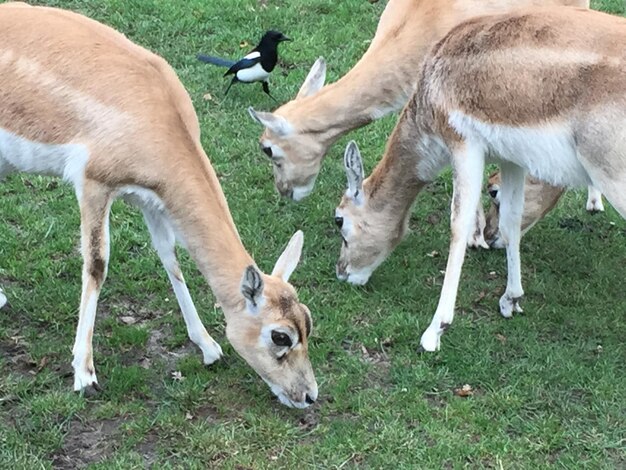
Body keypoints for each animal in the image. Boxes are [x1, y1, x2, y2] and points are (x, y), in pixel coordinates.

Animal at [1, 3, 316, 408]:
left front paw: (209, 347)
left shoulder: (150, 196)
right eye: (280, 335)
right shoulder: (93, 183)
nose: (309, 395)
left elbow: (170, 257)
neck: (156, 115)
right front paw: (84, 374)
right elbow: (96, 265)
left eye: (307, 321)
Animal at [336, 5, 624, 350]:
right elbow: (511, 223)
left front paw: (434, 331)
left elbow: (458, 226)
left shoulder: (464, 144)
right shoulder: (513, 161)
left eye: (339, 220)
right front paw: (510, 299)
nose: (342, 272)